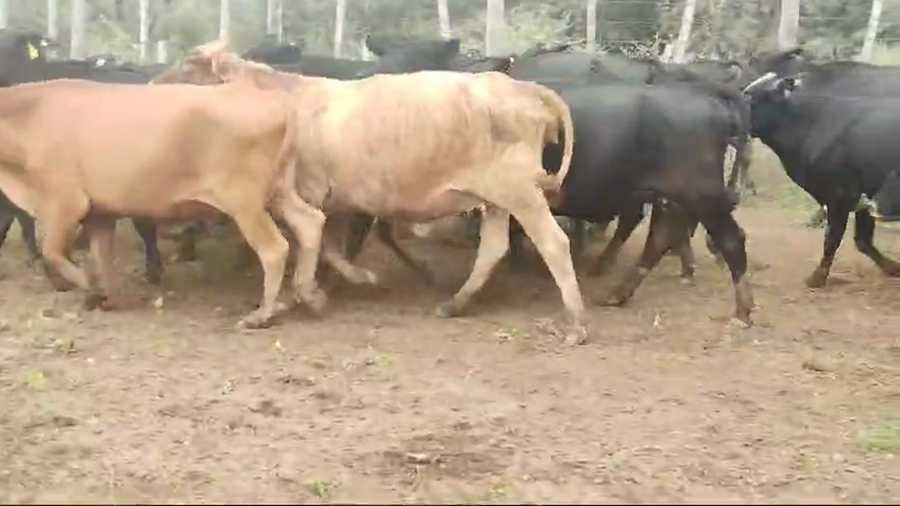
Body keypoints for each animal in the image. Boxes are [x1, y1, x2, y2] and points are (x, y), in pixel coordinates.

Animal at [0, 78, 308, 328]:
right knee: (310, 223)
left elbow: (52, 252)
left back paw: (262, 314)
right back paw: (306, 295)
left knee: (274, 248)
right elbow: (102, 256)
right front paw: (107, 296)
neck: (31, 114)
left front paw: (92, 290)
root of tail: (277, 101)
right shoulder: (100, 213)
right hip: (280, 191)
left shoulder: (66, 203)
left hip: (245, 202)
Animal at [154, 39, 588, 345]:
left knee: (554, 243)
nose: (151, 86)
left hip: (519, 191)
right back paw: (454, 303)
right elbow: (328, 243)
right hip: (495, 196)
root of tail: (521, 87)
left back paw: (576, 324)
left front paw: (336, 284)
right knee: (493, 248)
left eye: (189, 68)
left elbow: (321, 242)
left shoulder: (310, 192)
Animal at [743, 72, 900, 288]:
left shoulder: (840, 195)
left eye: (755, 99)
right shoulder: (863, 198)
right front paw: (893, 268)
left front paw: (817, 277)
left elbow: (832, 238)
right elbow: (863, 241)